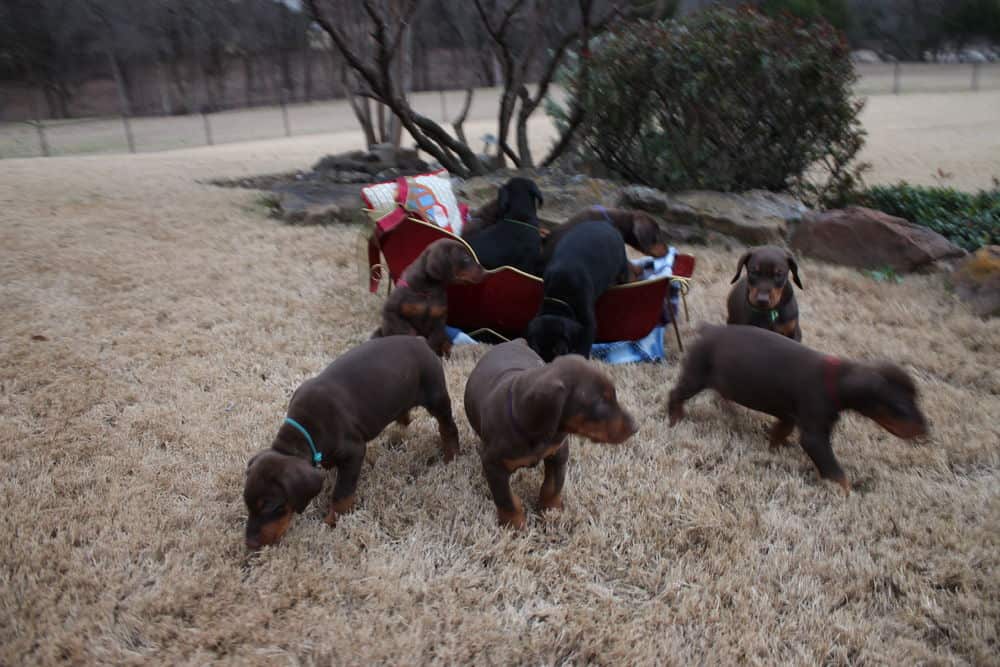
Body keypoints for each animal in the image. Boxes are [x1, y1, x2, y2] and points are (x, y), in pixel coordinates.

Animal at [242, 336, 460, 552]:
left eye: (271, 506)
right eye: (247, 503)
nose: (250, 545)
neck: (304, 432)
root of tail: (420, 340)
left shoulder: (354, 452)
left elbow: (342, 493)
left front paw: (332, 521)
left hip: (436, 395)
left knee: (448, 427)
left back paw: (452, 456)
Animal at [464, 342, 636, 528]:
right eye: (600, 403)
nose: (636, 426)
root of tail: (513, 341)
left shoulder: (558, 452)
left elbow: (552, 486)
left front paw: (551, 511)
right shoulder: (493, 464)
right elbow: (506, 499)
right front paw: (515, 524)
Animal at [524, 220, 624, 362]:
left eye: (560, 351)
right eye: (537, 350)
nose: (549, 364)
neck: (560, 296)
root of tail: (605, 223)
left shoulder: (588, 322)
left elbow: (585, 344)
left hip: (622, 264)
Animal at [668, 326, 924, 494]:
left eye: (916, 400)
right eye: (901, 408)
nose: (925, 430)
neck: (838, 380)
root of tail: (707, 329)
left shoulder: (789, 416)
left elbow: (780, 431)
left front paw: (775, 448)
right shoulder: (814, 435)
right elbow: (835, 471)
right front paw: (847, 493)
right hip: (696, 374)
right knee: (675, 394)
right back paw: (675, 418)